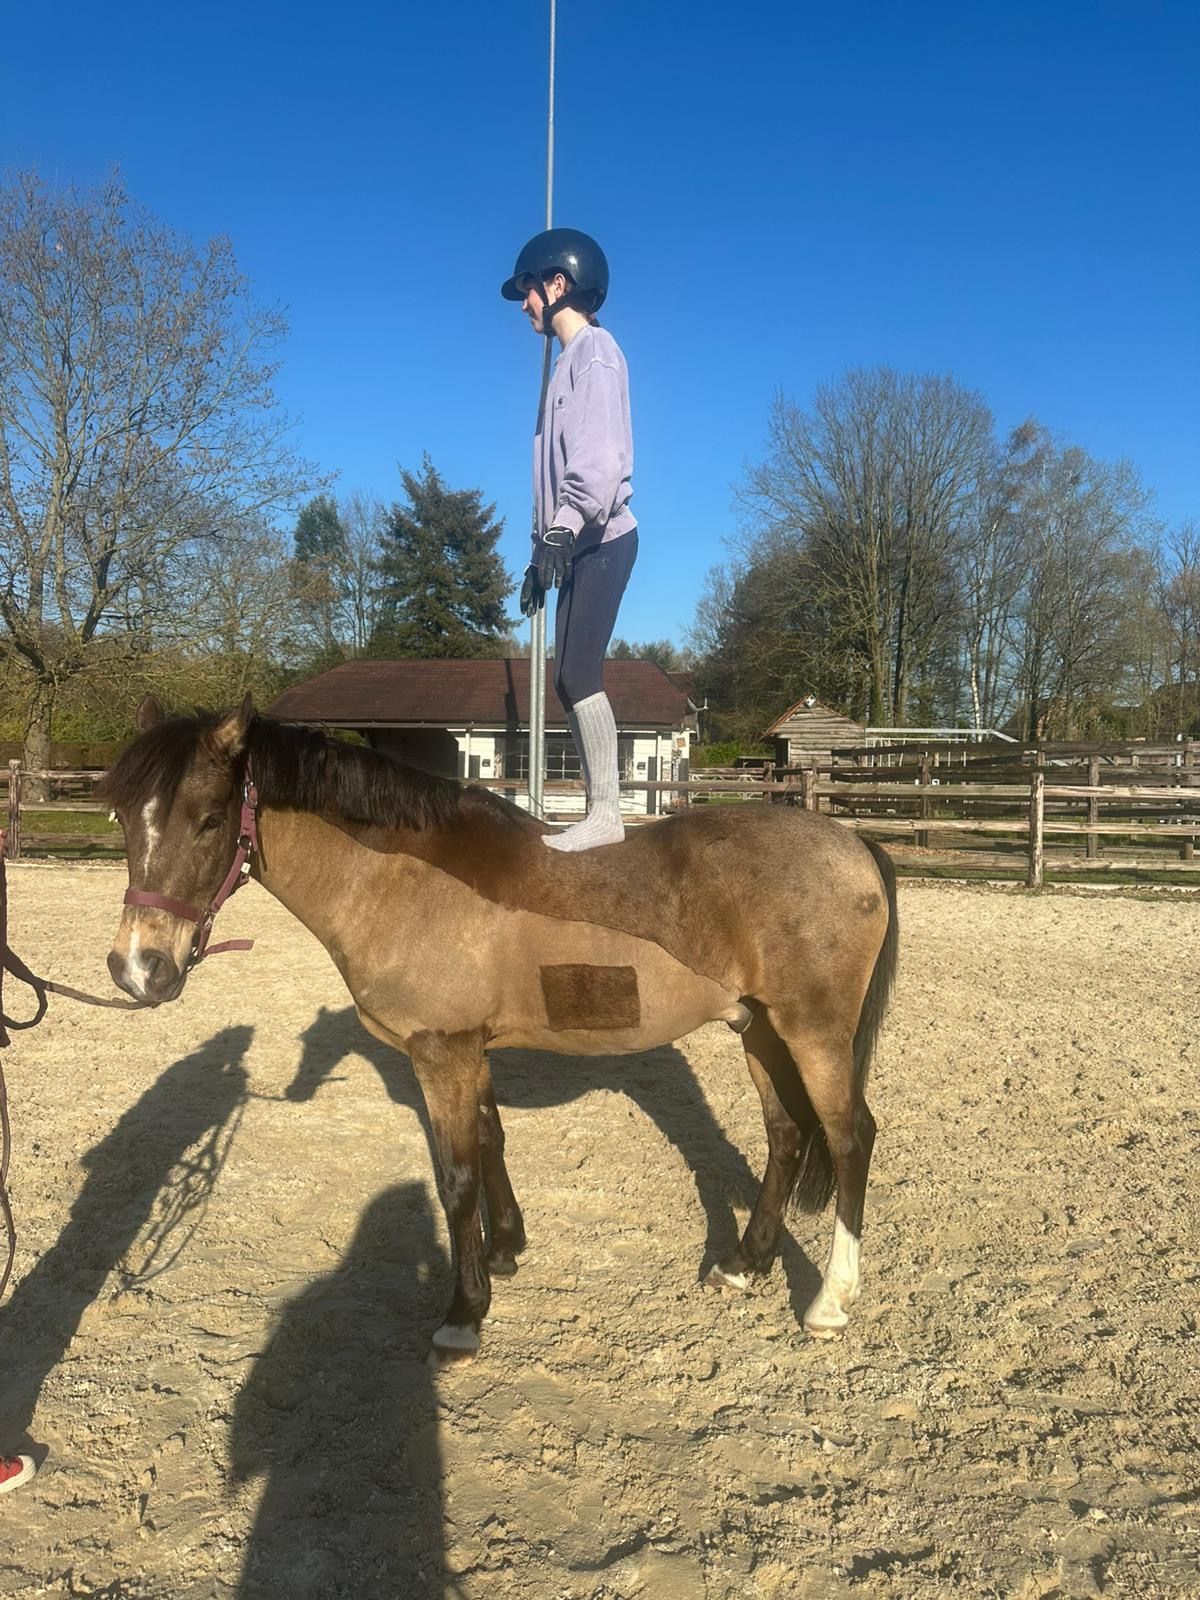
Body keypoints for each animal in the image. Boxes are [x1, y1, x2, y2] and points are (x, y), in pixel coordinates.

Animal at [99, 695, 898, 1366]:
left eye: (209, 819)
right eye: (124, 818)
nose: (139, 968)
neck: (402, 879)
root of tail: (853, 845)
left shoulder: (440, 1052)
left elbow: (454, 1177)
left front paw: (463, 1314)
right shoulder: (469, 1051)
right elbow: (490, 1141)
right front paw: (507, 1248)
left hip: (813, 1034)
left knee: (850, 1137)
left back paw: (829, 1303)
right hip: (758, 1029)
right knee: (787, 1134)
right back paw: (743, 1264)